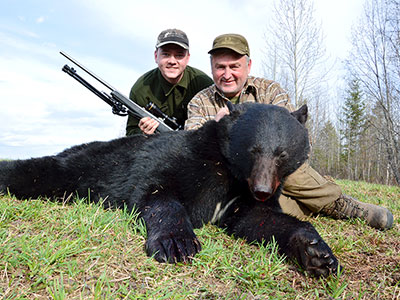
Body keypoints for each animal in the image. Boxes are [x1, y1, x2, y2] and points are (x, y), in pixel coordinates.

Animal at [0, 103, 338, 276]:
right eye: (252, 150)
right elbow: (156, 193)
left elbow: (258, 219)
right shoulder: (179, 161)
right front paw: (177, 243)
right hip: (74, 168)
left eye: (282, 154)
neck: (226, 170)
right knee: (36, 171)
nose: (263, 189)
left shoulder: (240, 196)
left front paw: (316, 253)